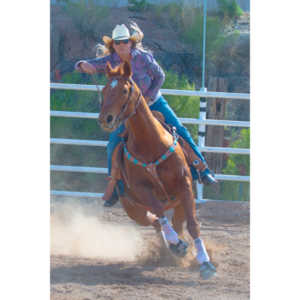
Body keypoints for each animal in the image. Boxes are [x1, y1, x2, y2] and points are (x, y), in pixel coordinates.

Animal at [99, 61, 217, 282]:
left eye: (124, 90)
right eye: (103, 90)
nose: (105, 119)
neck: (150, 143)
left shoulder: (185, 185)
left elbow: (193, 224)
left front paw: (206, 263)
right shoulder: (143, 189)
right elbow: (160, 215)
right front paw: (177, 245)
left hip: (178, 203)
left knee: (176, 223)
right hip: (134, 210)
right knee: (155, 222)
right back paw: (172, 248)